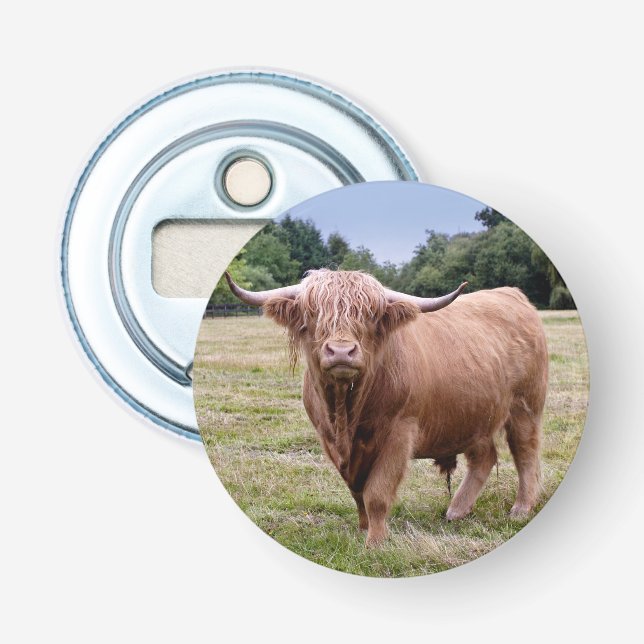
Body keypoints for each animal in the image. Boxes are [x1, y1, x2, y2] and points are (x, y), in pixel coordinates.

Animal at [224, 269, 548, 546]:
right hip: (473, 414)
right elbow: (357, 491)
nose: (341, 351)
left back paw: (521, 508)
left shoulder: (399, 433)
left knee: (525, 453)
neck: (347, 414)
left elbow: (377, 492)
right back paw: (457, 510)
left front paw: (376, 541)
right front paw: (363, 527)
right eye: (313, 313)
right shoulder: (329, 440)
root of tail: (513, 294)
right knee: (484, 457)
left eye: (370, 315)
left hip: (525, 407)